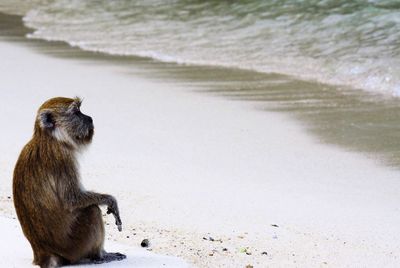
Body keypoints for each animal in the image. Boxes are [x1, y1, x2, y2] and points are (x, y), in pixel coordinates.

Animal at [12, 97, 125, 268]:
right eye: (76, 112)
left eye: (80, 110)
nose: (90, 118)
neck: (51, 138)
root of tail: (43, 254)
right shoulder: (63, 158)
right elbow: (72, 199)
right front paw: (110, 200)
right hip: (75, 246)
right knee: (92, 211)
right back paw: (100, 255)